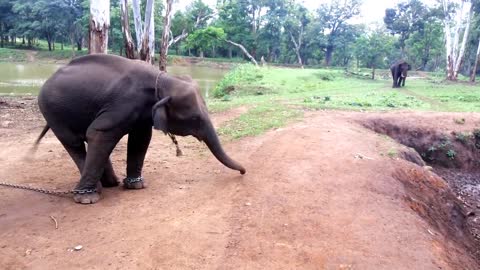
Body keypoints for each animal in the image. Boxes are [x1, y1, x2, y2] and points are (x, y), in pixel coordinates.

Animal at [35, 53, 246, 204]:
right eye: (195, 118)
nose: (244, 172)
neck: (163, 80)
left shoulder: (143, 112)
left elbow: (141, 139)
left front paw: (136, 186)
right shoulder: (123, 104)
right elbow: (99, 132)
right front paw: (88, 199)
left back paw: (110, 183)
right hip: (52, 110)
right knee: (74, 142)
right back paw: (90, 192)